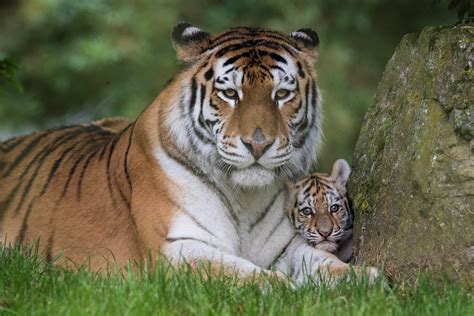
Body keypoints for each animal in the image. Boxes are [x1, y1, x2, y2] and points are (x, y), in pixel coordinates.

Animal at [0, 22, 378, 284]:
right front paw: (287, 290)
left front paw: (362, 278)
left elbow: (318, 260)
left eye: (282, 94)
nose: (258, 144)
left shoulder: (285, 245)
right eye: (230, 94)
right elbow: (246, 277)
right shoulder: (177, 248)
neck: (245, 195)